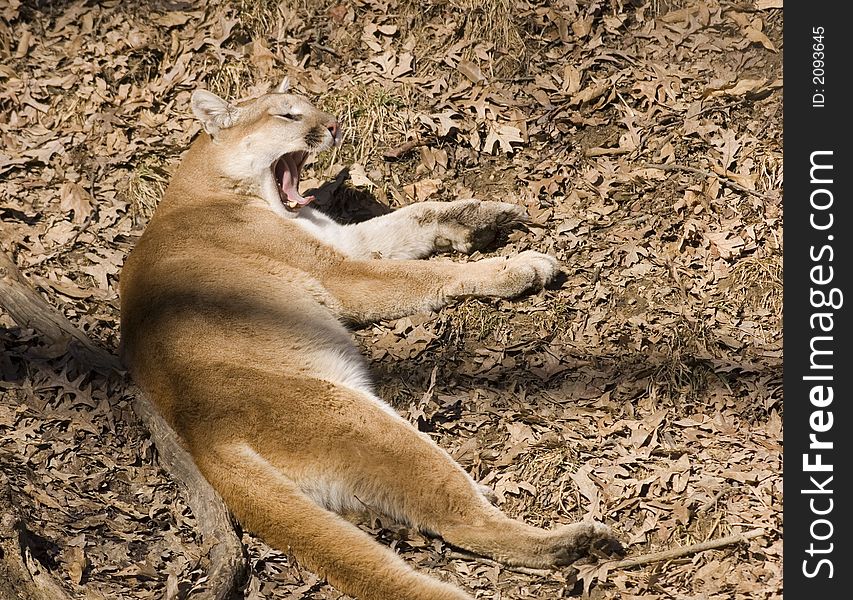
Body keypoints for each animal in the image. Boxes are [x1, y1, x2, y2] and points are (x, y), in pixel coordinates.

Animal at [120, 81, 620, 600]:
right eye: (288, 114)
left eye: (313, 105)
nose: (335, 125)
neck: (212, 183)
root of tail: (203, 438)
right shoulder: (342, 274)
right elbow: (426, 274)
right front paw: (516, 267)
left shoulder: (348, 243)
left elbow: (415, 217)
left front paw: (483, 215)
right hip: (361, 421)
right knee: (459, 518)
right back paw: (576, 542)